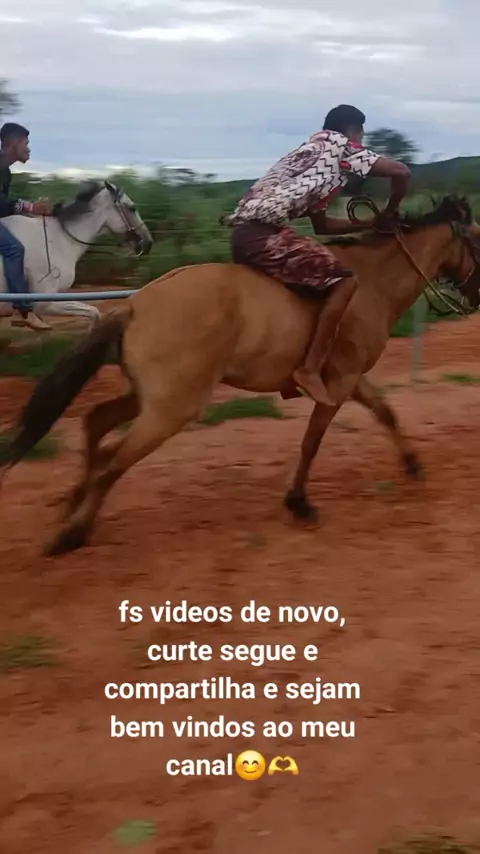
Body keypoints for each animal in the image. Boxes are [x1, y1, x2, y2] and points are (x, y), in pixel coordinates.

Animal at [0, 180, 153, 328]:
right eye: (132, 208)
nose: (148, 243)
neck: (58, 241)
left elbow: (93, 313)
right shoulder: (45, 303)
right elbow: (94, 313)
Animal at [2, 194, 479, 556]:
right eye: (477, 238)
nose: (476, 296)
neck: (372, 282)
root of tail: (136, 304)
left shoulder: (350, 379)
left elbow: (386, 413)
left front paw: (413, 464)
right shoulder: (340, 382)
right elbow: (312, 441)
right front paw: (298, 502)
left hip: (150, 396)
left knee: (97, 423)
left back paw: (74, 503)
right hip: (172, 408)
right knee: (112, 460)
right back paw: (71, 533)